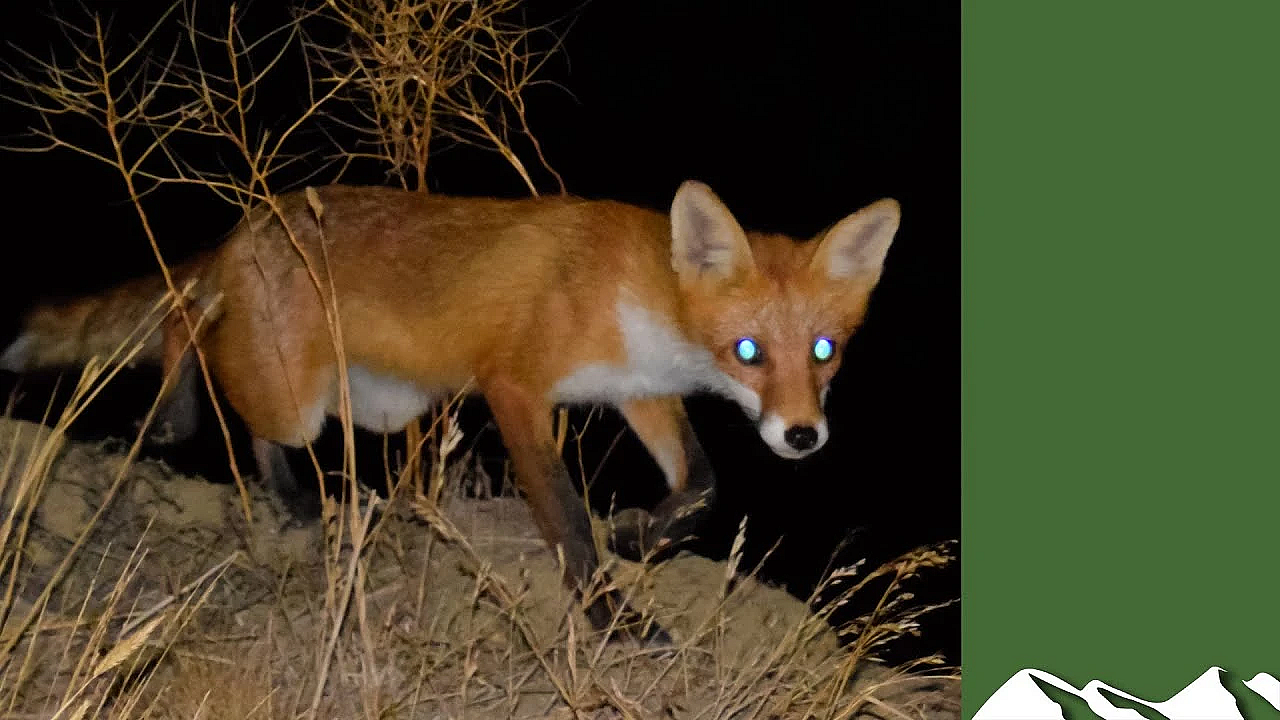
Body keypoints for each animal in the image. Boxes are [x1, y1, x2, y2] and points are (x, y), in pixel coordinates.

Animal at [0, 181, 900, 643]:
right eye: (748, 352)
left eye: (825, 351)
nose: (802, 435)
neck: (632, 293)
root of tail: (248, 224)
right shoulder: (514, 387)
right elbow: (568, 523)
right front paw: (611, 617)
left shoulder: (639, 390)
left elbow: (703, 488)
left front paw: (642, 537)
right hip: (299, 400)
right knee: (191, 320)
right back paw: (218, 453)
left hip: (371, 404)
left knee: (190, 315)